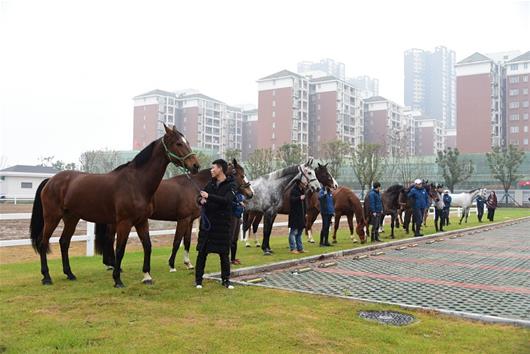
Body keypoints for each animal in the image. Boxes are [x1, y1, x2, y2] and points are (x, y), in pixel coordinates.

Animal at [29, 124, 198, 288]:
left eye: (187, 142)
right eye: (178, 143)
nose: (195, 165)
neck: (136, 182)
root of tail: (51, 180)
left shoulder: (142, 221)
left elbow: (147, 246)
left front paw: (147, 276)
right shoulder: (124, 222)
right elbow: (120, 249)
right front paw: (117, 280)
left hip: (71, 218)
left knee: (64, 242)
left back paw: (70, 274)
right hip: (52, 217)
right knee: (43, 243)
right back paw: (47, 277)